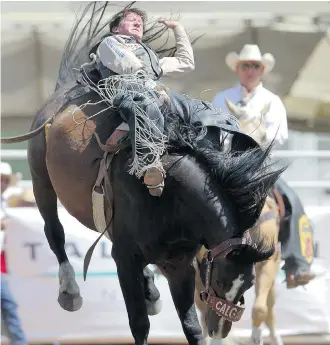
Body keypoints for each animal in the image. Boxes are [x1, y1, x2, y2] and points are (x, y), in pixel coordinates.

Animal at [193, 99, 284, 344]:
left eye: (264, 136)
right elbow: (207, 308)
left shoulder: (267, 262)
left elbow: (260, 309)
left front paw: (256, 337)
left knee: (271, 306)